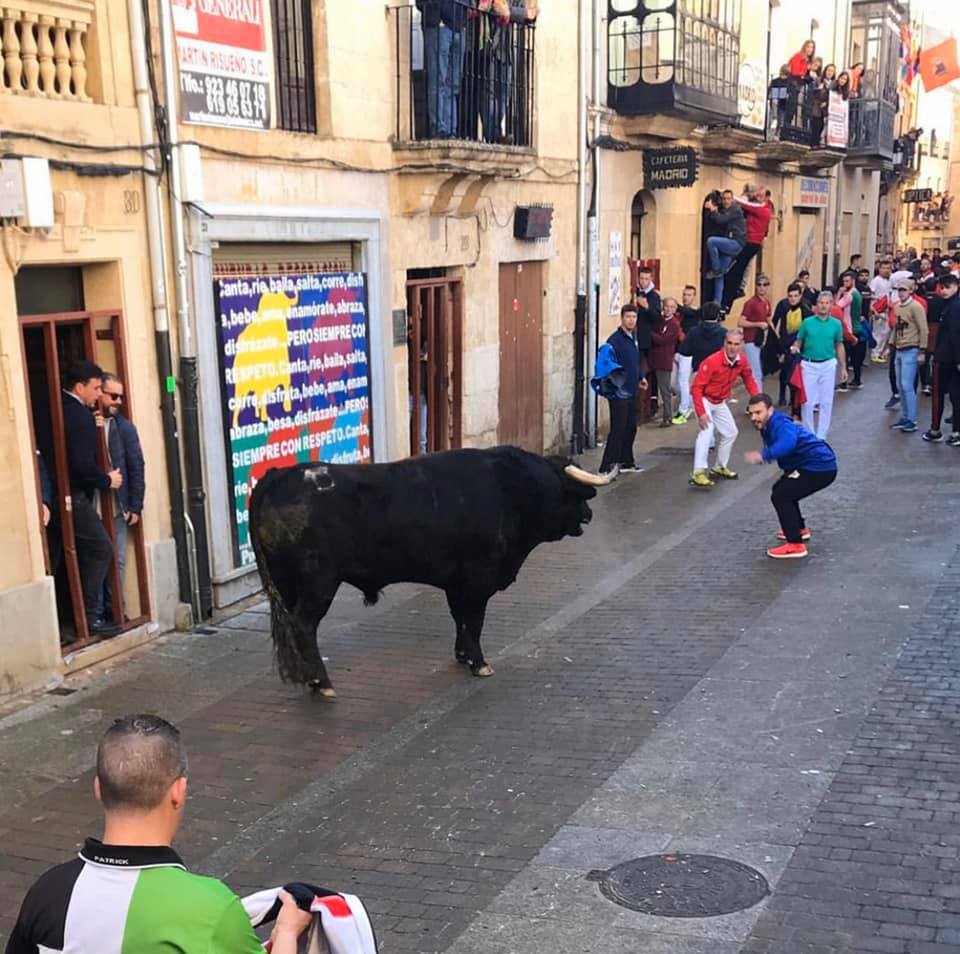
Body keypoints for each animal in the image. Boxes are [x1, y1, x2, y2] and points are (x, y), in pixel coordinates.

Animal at [248, 446, 608, 692]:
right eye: (572, 494)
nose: (590, 513)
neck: (511, 489)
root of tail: (279, 475)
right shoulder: (477, 582)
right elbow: (474, 622)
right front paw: (480, 663)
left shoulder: (456, 583)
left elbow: (461, 620)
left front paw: (463, 655)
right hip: (318, 583)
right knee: (305, 627)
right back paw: (321, 683)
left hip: (288, 584)